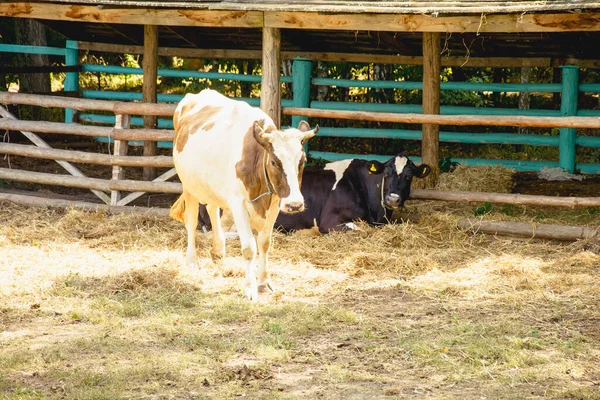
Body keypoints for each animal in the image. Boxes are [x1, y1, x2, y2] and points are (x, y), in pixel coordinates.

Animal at [170, 90, 318, 300]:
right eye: (274, 162)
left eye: (302, 160)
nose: (295, 204)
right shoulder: (238, 204)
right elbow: (249, 247)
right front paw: (250, 288)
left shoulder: (275, 202)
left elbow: (264, 242)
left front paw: (264, 282)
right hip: (189, 184)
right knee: (191, 220)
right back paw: (192, 261)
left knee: (212, 208)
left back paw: (218, 250)